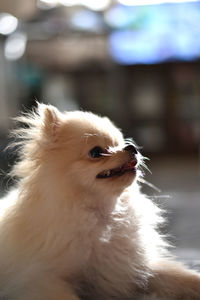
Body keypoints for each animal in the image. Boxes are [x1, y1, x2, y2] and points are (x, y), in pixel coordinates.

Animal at [0, 102, 199, 298]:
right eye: (96, 152)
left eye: (121, 143)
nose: (131, 147)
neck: (103, 217)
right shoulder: (42, 281)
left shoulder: (131, 267)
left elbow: (184, 276)